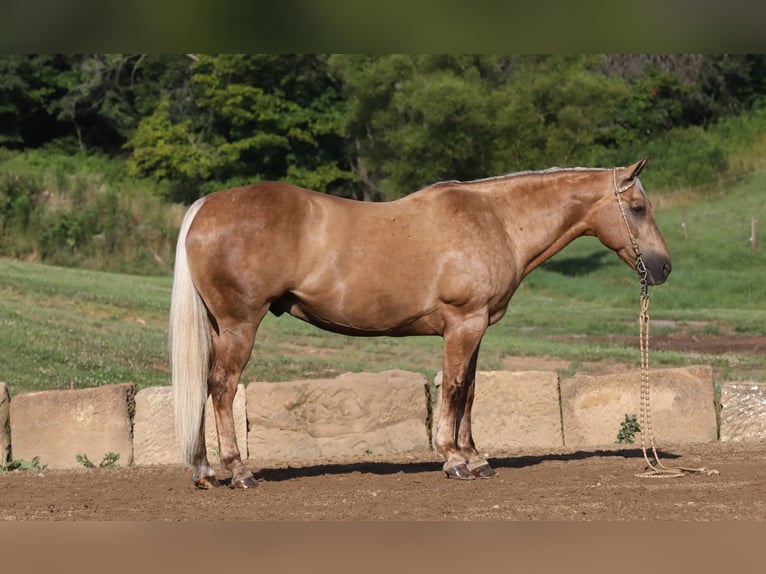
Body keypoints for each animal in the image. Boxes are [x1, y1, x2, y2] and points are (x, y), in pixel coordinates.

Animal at [170, 159, 672, 490]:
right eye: (638, 207)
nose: (664, 268)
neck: (497, 220)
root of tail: (207, 206)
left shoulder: (476, 327)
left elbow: (470, 390)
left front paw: (476, 458)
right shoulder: (464, 323)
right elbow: (453, 387)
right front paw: (454, 460)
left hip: (218, 327)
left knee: (205, 385)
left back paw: (206, 471)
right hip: (240, 325)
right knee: (222, 387)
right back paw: (239, 472)